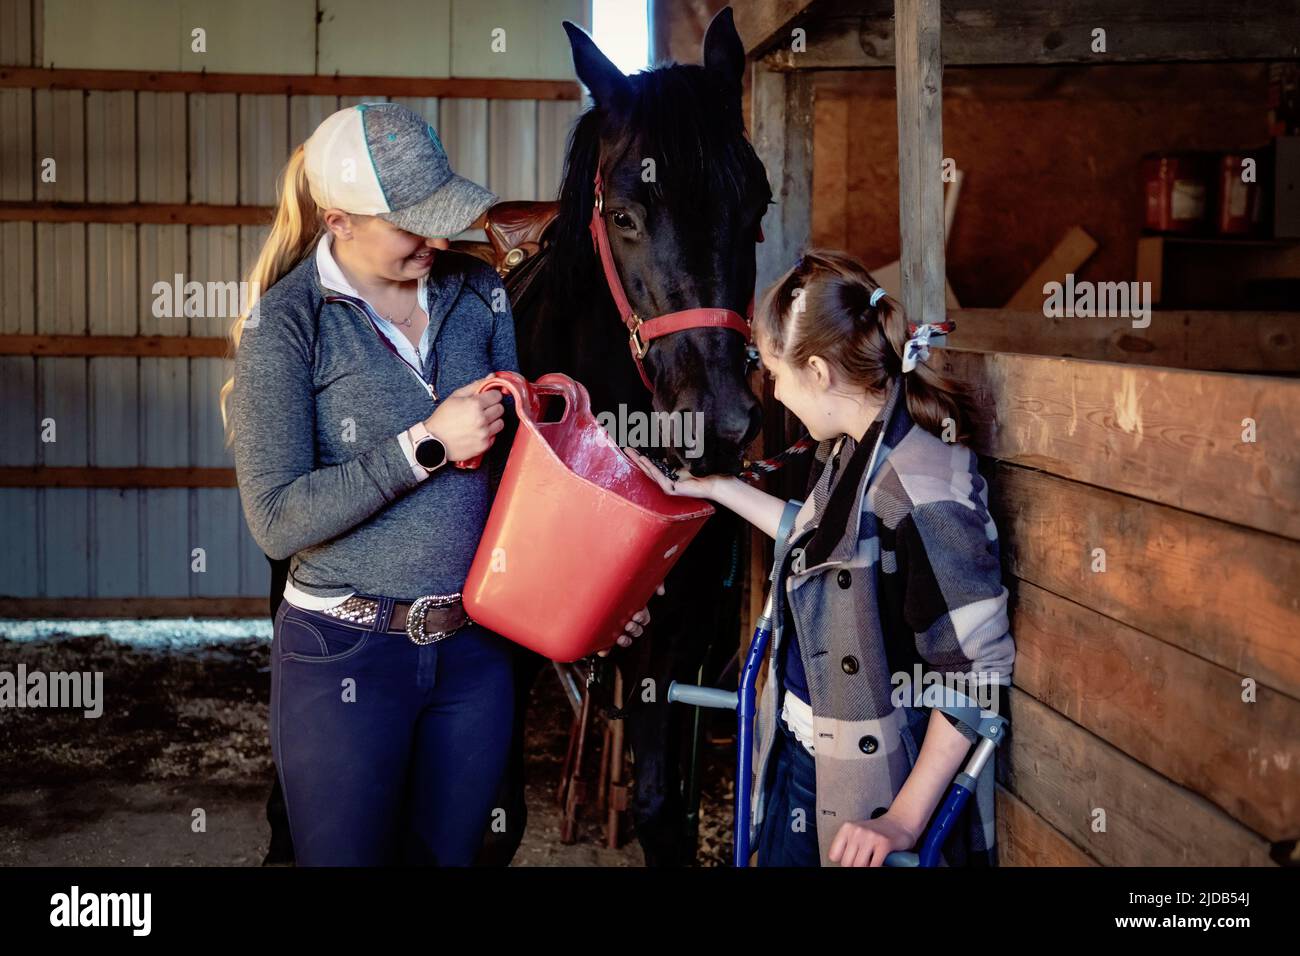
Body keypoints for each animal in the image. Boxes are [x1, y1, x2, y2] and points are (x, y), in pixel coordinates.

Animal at [263, 7, 769, 868]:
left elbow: (661, 810)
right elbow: (495, 816)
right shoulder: (499, 649)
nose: (717, 422)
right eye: (624, 215)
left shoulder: (677, 643)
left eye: (758, 206)